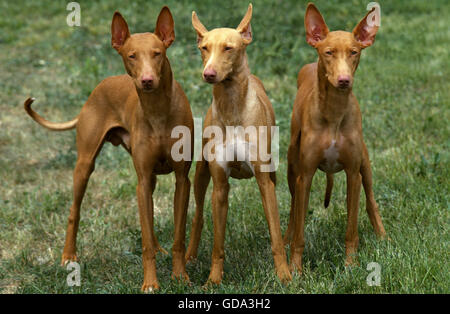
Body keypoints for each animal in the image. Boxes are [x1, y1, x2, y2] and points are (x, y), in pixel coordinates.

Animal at [24, 6, 193, 292]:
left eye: (157, 53)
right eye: (131, 56)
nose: (147, 80)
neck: (158, 110)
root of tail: (99, 87)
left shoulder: (182, 180)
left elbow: (178, 235)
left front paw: (180, 276)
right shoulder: (142, 181)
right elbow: (145, 240)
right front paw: (150, 283)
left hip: (149, 180)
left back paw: (160, 249)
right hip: (85, 166)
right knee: (74, 211)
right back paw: (68, 255)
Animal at [185, 4, 292, 284]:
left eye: (228, 48)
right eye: (204, 48)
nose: (208, 74)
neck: (231, 106)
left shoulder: (265, 182)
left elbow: (275, 235)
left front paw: (285, 274)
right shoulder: (220, 186)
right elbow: (217, 244)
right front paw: (213, 280)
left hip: (272, 173)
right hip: (201, 174)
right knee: (198, 216)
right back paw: (188, 255)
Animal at [284, 3, 386, 272]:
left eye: (354, 52)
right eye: (328, 52)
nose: (344, 81)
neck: (333, 111)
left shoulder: (353, 174)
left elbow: (351, 228)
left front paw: (351, 264)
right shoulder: (305, 176)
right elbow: (300, 230)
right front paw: (296, 269)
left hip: (365, 166)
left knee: (371, 201)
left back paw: (383, 236)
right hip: (291, 169)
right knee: (293, 208)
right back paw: (285, 237)